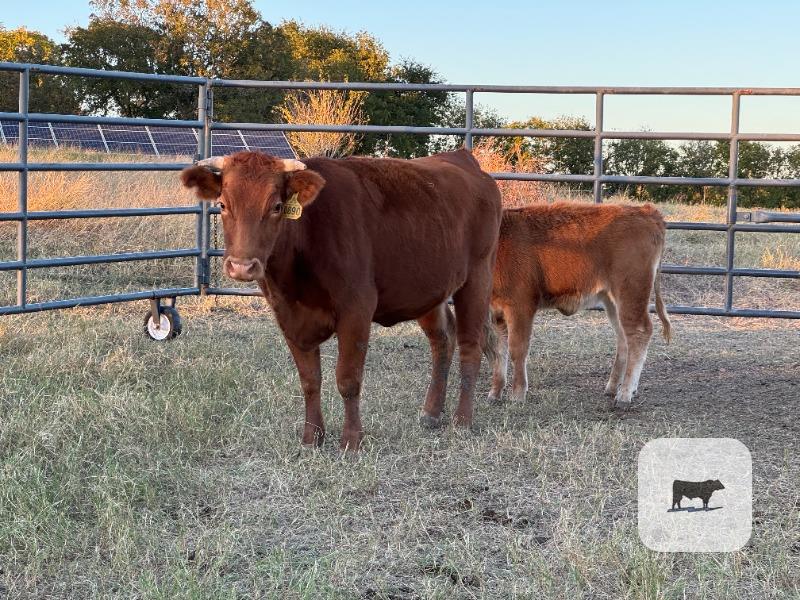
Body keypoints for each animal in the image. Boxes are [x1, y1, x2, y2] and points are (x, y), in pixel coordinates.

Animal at [181, 150, 501, 450]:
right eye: (223, 204)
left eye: (277, 207)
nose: (242, 266)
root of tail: (462, 157)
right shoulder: (287, 315)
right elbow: (310, 380)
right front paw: (311, 438)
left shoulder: (356, 309)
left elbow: (348, 379)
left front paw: (351, 441)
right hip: (427, 289)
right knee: (443, 339)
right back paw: (432, 412)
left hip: (478, 276)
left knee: (470, 346)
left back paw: (462, 420)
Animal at [487, 202, 672, 409]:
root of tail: (646, 211)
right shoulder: (496, 312)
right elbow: (499, 352)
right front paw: (495, 393)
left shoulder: (520, 307)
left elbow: (517, 349)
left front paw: (518, 394)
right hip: (613, 301)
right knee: (624, 338)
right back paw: (613, 388)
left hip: (631, 293)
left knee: (640, 332)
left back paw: (624, 394)